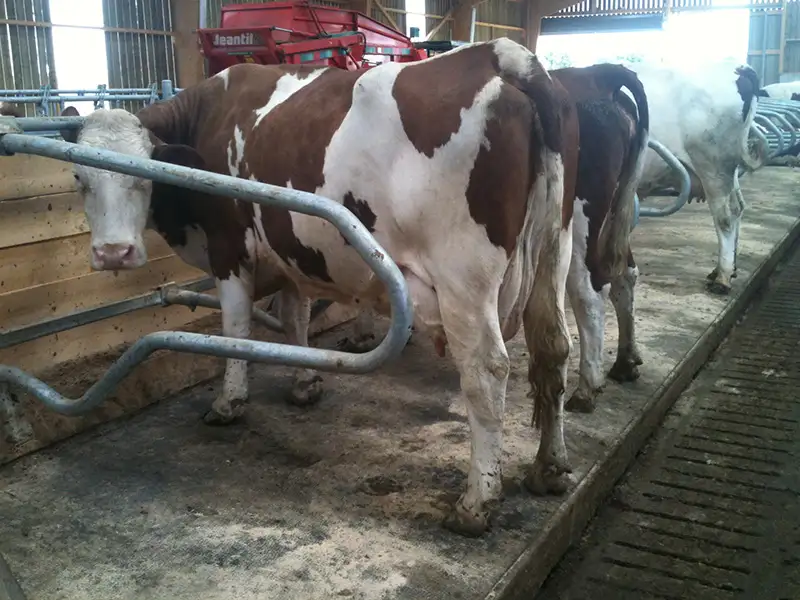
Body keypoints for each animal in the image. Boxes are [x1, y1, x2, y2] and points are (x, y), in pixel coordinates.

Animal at [58, 38, 580, 537]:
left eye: (141, 179)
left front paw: (229, 402)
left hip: (464, 277)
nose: (113, 253)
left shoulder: (229, 248)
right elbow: (296, 320)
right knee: (554, 346)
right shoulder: (292, 253)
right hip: (555, 251)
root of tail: (499, 54)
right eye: (79, 176)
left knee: (486, 371)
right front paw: (305, 383)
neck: (209, 115)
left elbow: (236, 329)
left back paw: (477, 502)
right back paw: (550, 468)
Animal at [629, 60, 766, 294]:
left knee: (726, 216)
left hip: (713, 165)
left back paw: (722, 277)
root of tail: (738, 67)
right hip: (727, 170)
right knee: (738, 207)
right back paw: (726, 270)